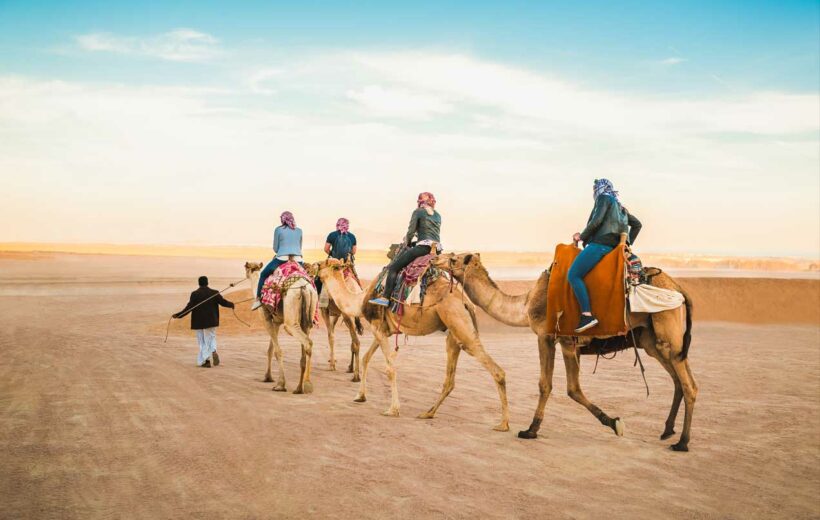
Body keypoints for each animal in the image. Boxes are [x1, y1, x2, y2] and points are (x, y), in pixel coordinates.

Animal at [243, 262, 318, 392]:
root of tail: (304, 288)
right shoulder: (277, 322)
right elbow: (270, 349)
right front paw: (267, 377)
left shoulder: (266, 319)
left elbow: (277, 351)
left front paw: (280, 384)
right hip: (308, 317)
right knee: (306, 344)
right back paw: (301, 387)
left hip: (290, 320)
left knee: (307, 342)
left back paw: (305, 385)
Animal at [316, 256, 512, 430]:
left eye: (323, 263)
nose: (313, 267)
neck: (360, 300)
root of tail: (466, 302)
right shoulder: (383, 330)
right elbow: (366, 358)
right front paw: (360, 396)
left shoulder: (377, 327)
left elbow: (390, 369)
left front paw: (393, 409)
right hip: (454, 331)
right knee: (450, 377)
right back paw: (428, 413)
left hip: (458, 324)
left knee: (495, 369)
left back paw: (503, 424)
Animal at [430, 252, 700, 450]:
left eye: (454, 258)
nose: (434, 259)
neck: (526, 303)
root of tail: (680, 289)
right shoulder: (568, 343)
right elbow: (570, 388)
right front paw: (613, 422)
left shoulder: (551, 338)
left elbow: (555, 386)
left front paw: (530, 430)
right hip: (652, 341)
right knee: (680, 381)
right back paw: (667, 431)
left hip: (667, 332)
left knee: (688, 385)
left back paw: (682, 442)